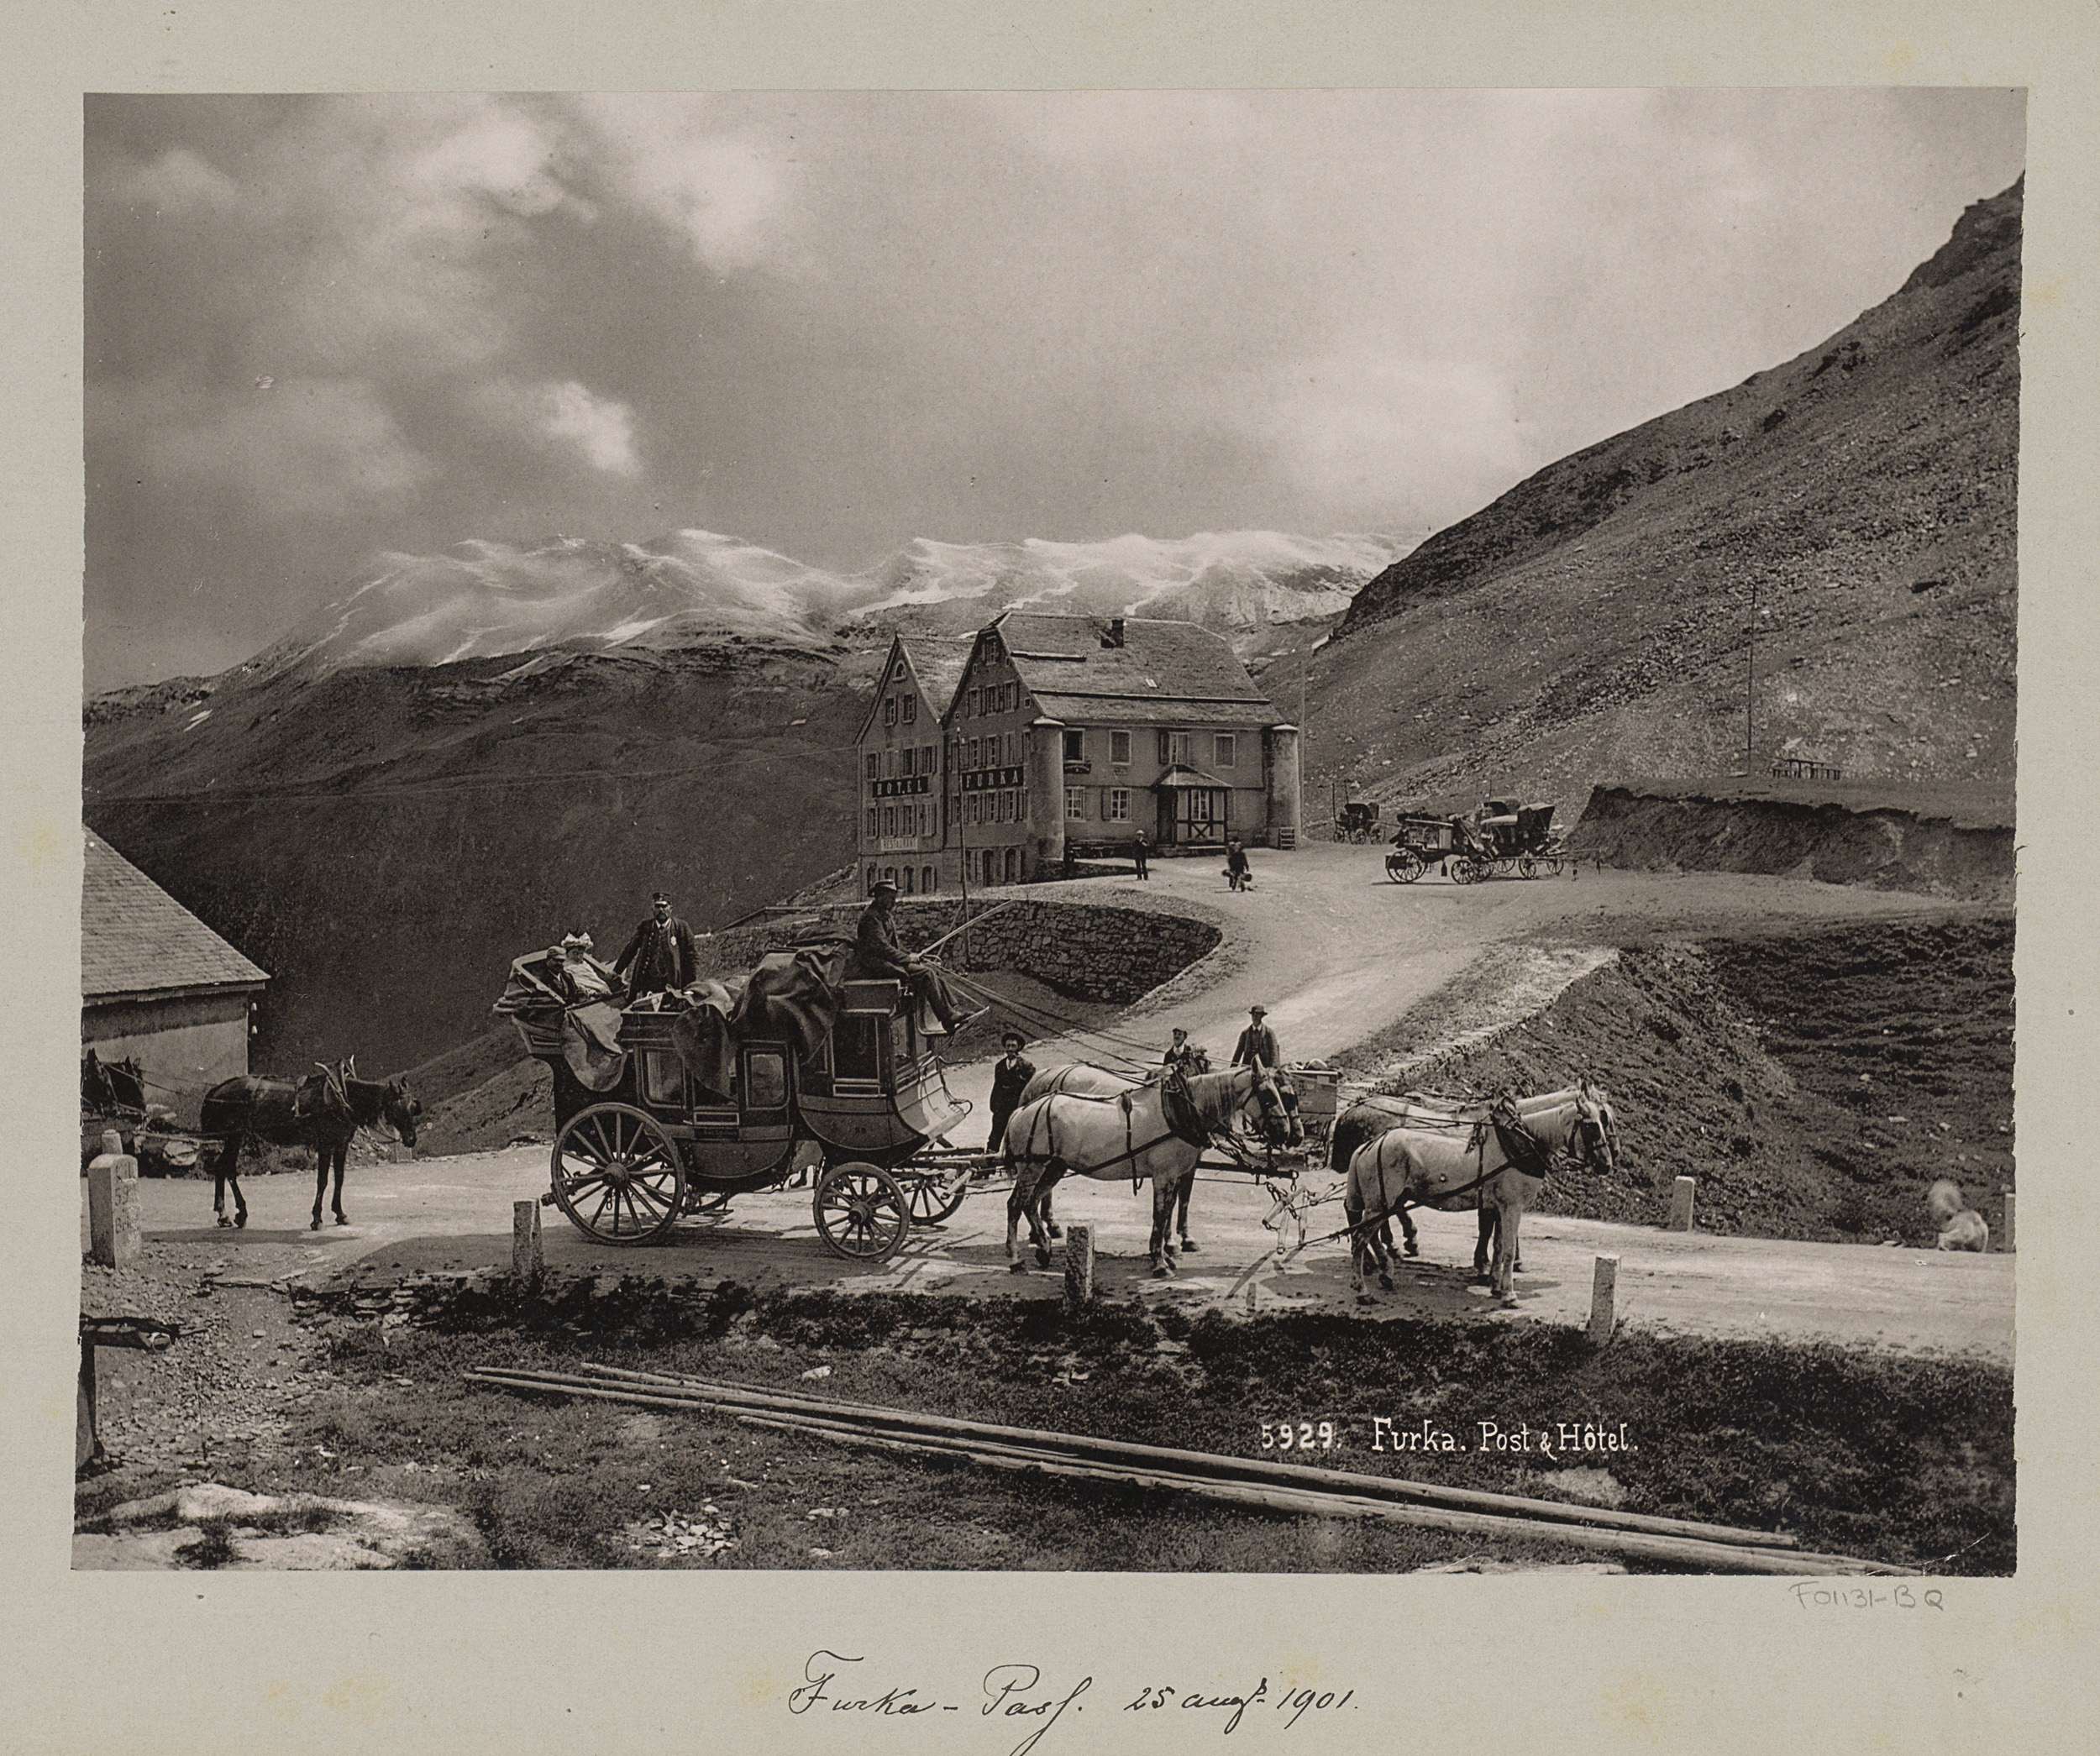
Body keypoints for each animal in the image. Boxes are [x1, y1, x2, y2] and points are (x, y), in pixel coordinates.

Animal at [199, 1058, 422, 1230]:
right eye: (397, 1108)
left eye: (413, 1107)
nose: (411, 1139)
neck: (342, 1096)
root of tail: (217, 1090)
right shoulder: (325, 1144)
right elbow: (322, 1180)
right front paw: (317, 1218)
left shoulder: (341, 1144)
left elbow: (340, 1178)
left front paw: (340, 1214)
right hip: (234, 1135)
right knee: (228, 1168)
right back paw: (238, 1212)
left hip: (235, 1136)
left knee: (221, 1167)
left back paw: (225, 1214)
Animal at [1001, 1063, 1291, 1277]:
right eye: (1267, 1096)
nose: (1287, 1132)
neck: (1180, 1111)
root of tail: (1021, 1110)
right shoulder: (1164, 1176)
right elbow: (1160, 1215)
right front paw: (1160, 1262)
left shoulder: (1175, 1175)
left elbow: (1168, 1212)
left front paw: (1165, 1254)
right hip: (1033, 1166)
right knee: (1016, 1204)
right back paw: (1015, 1259)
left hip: (1053, 1167)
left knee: (1031, 1202)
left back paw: (1044, 1248)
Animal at [1341, 1089, 1612, 1302]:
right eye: (1592, 1125)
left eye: (1604, 1120)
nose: (1607, 1164)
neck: (1517, 1145)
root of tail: (1370, 1145)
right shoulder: (1512, 1206)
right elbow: (1508, 1249)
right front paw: (1509, 1294)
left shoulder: (1500, 1206)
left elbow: (1498, 1244)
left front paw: (1495, 1285)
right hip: (1380, 1203)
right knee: (1360, 1239)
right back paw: (1363, 1288)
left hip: (1384, 1202)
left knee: (1370, 1233)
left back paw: (1386, 1270)